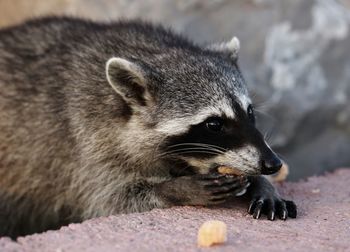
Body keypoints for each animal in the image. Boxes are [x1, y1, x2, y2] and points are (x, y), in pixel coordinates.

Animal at [0, 17, 296, 238]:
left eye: (249, 112)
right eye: (214, 124)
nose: (273, 163)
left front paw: (263, 184)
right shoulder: (85, 143)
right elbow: (110, 199)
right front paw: (175, 189)